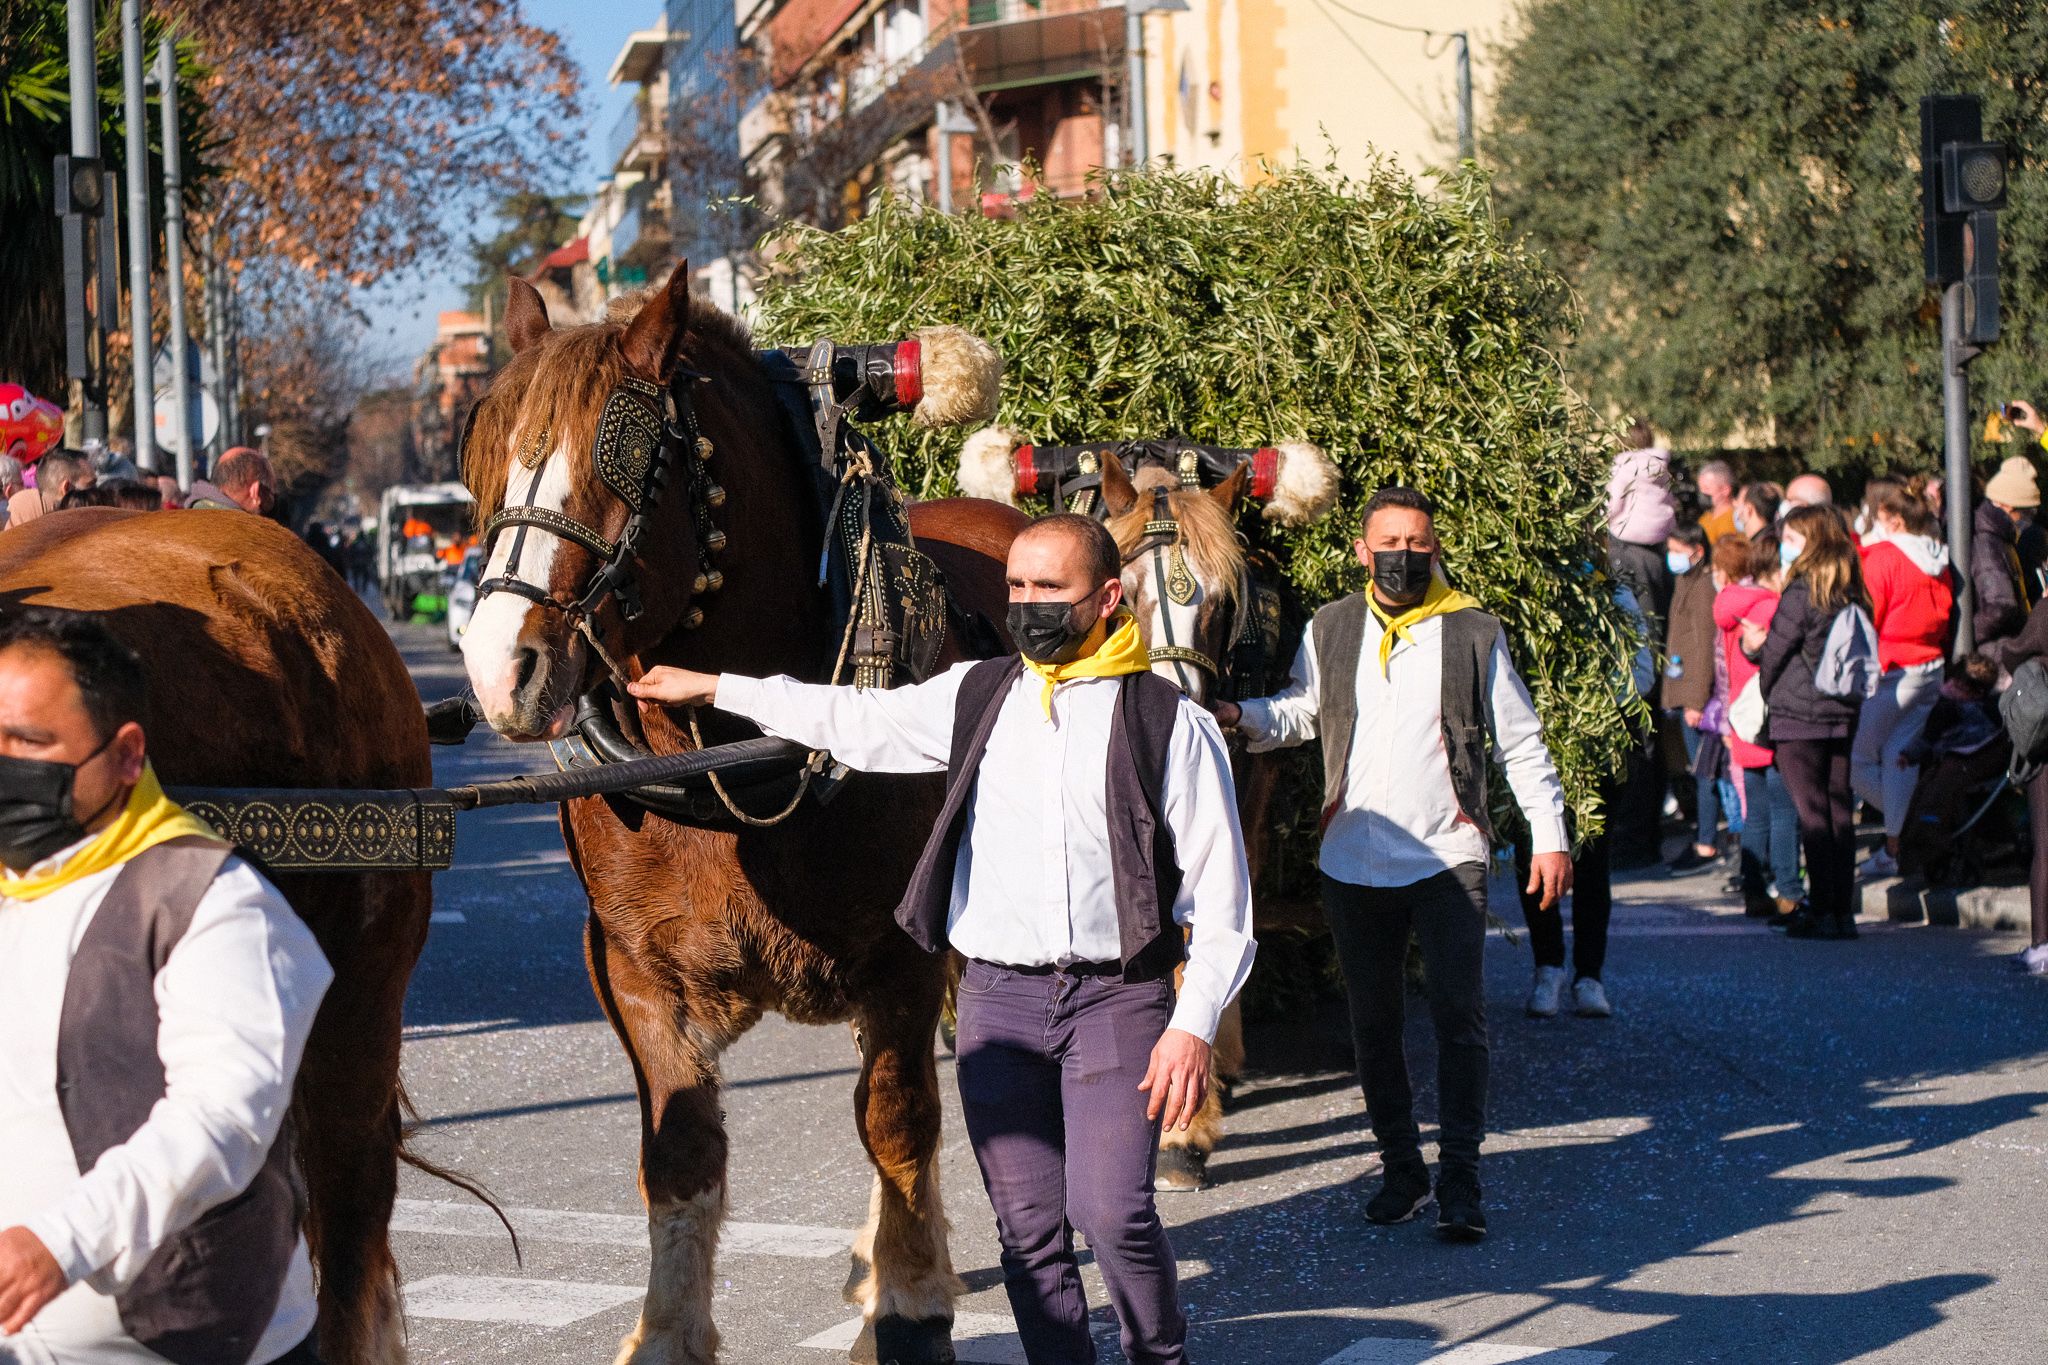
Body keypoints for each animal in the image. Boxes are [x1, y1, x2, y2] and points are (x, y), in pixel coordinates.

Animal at [456, 270, 1015, 1365]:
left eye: (621, 461)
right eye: (485, 463)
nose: (500, 668)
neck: (726, 754)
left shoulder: (901, 954)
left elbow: (897, 1119)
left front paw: (910, 1302)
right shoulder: (633, 967)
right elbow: (681, 1154)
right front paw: (668, 1331)